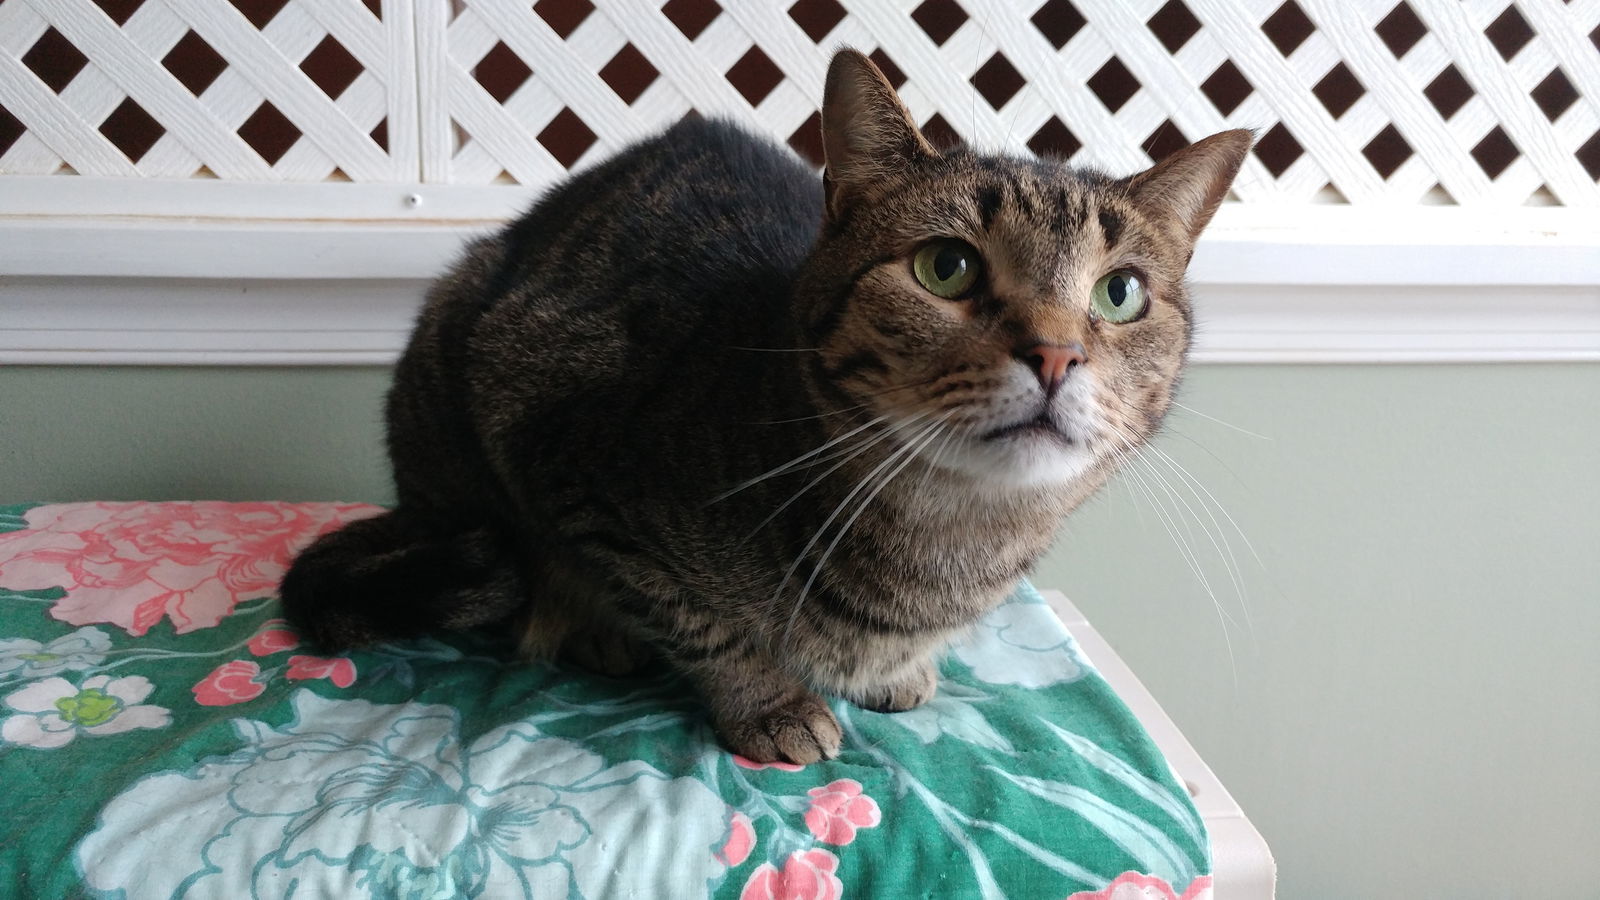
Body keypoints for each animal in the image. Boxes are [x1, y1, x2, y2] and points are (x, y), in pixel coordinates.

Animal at [281, 49, 1254, 759]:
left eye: (1120, 293)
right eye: (947, 267)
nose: (1056, 352)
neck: (944, 547)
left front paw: (900, 670)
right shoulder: (559, 448)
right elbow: (691, 616)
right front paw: (766, 701)